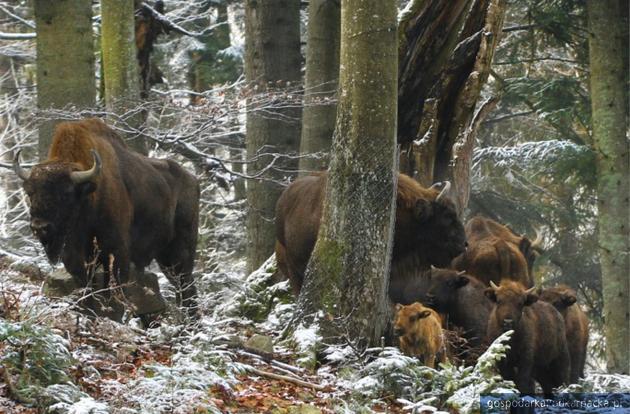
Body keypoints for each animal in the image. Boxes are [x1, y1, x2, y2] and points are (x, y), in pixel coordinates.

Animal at [14, 118, 200, 318]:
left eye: (65, 193)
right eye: (30, 192)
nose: (39, 227)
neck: (89, 197)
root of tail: (193, 180)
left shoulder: (116, 252)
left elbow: (114, 289)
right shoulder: (76, 257)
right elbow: (87, 288)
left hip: (180, 252)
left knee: (186, 286)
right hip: (165, 257)